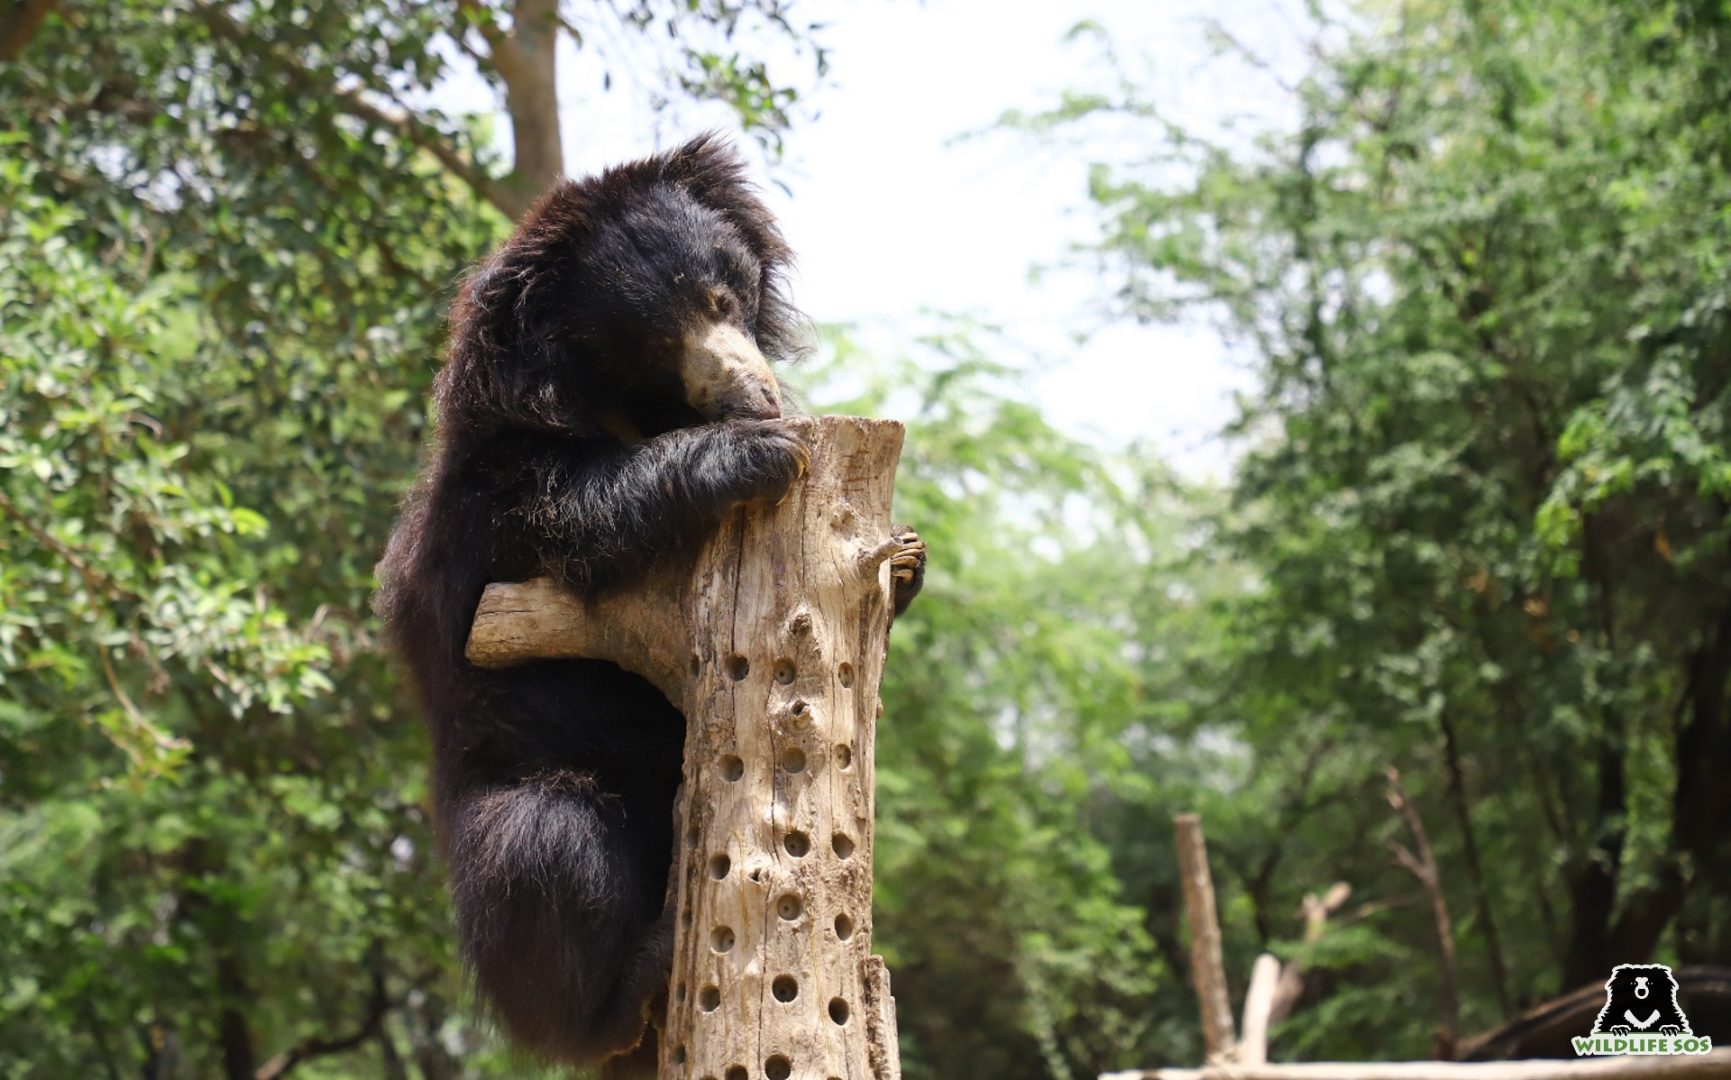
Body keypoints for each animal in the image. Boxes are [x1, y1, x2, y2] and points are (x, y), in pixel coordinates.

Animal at [373, 136, 927, 1073]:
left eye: (723, 297)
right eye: (656, 340)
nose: (757, 397)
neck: (629, 404)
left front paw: (911, 557)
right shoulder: (497, 496)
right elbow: (575, 511)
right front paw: (756, 453)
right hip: (511, 801)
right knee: (548, 843)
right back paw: (628, 984)